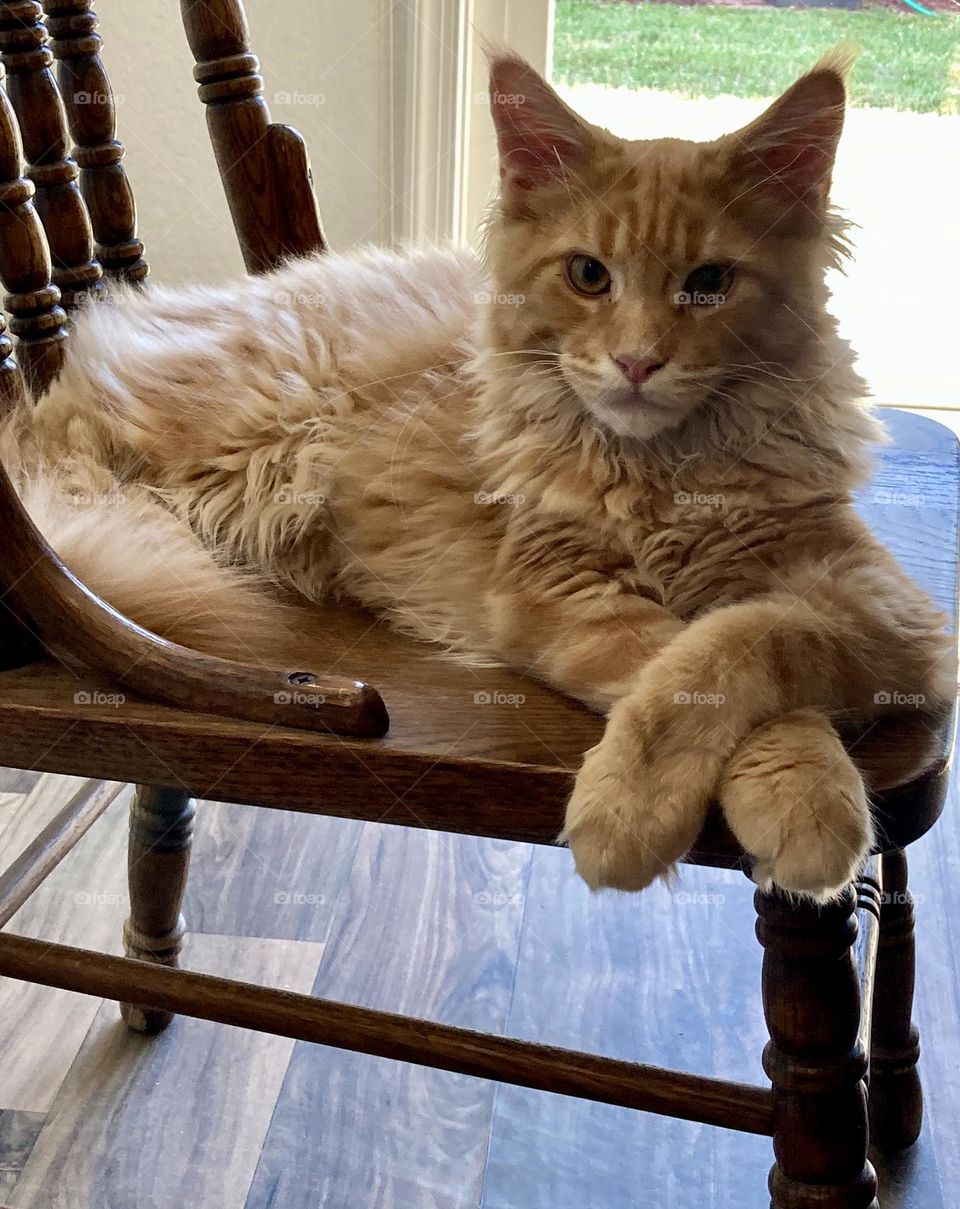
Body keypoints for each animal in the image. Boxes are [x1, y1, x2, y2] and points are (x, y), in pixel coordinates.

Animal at [5, 49, 947, 899]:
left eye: (711, 282)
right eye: (588, 275)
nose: (637, 362)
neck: (658, 474)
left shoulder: (890, 611)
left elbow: (743, 640)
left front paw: (799, 801)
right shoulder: (554, 591)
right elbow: (685, 673)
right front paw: (642, 814)